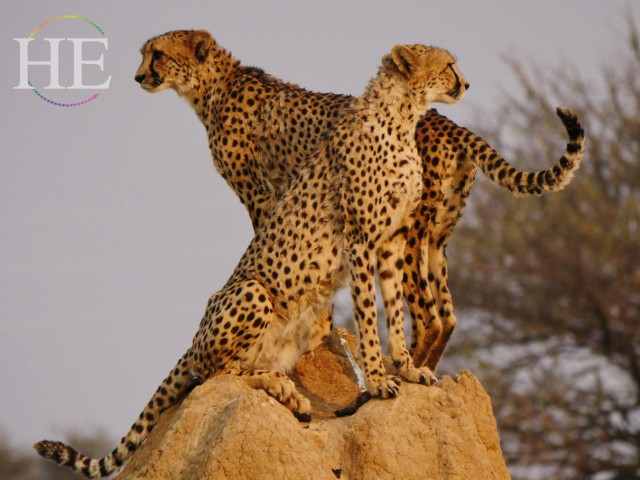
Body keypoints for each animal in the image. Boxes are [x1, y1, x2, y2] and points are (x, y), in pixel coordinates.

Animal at [32, 42, 468, 476]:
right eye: (448, 65)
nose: (465, 83)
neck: (402, 117)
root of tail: (193, 341)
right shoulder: (360, 240)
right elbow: (368, 315)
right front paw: (378, 381)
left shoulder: (392, 240)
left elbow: (393, 312)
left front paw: (408, 369)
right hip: (252, 292)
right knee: (216, 373)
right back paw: (281, 389)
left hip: (307, 320)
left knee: (244, 367)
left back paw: (292, 395)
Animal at [135, 30, 584, 376]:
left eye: (157, 54)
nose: (138, 75)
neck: (214, 85)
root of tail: (447, 121)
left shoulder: (262, 195)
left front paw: (322, 327)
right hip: (437, 236)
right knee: (448, 315)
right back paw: (422, 369)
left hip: (410, 232)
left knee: (426, 315)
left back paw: (398, 368)